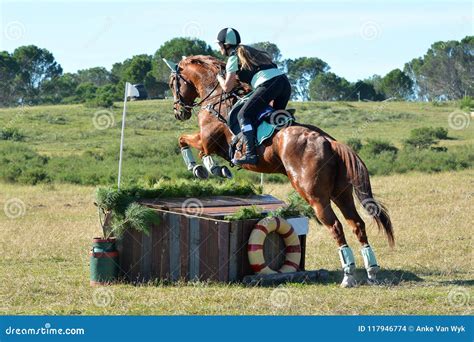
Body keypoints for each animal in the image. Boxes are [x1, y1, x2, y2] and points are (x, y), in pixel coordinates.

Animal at [165, 55, 394, 286]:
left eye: (172, 84)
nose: (178, 112)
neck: (216, 95)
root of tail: (329, 141)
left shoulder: (207, 138)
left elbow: (187, 142)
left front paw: (202, 168)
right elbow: (190, 144)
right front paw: (215, 169)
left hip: (315, 196)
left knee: (336, 226)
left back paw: (348, 275)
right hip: (342, 194)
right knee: (357, 224)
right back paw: (372, 271)